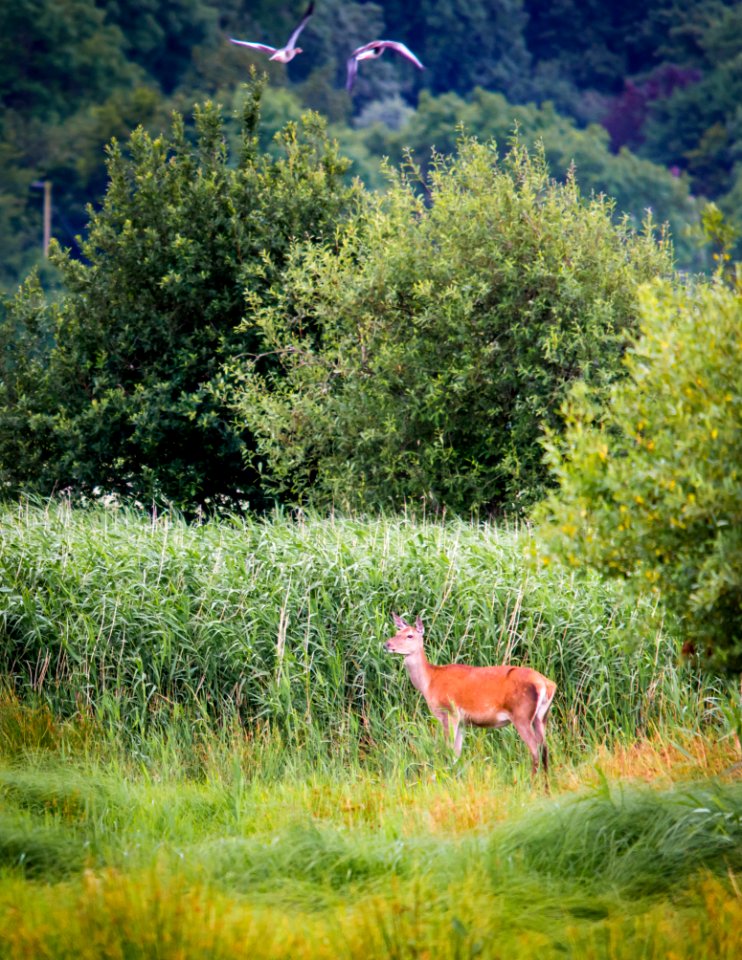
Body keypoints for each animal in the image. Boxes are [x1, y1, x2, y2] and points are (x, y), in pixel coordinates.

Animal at [386, 616, 556, 780]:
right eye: (396, 632)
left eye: (410, 635)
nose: (386, 644)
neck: (429, 682)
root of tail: (546, 684)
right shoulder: (462, 721)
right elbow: (457, 754)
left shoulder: (450, 712)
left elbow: (449, 750)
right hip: (541, 716)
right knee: (545, 748)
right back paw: (546, 784)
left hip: (522, 715)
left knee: (535, 749)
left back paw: (532, 782)